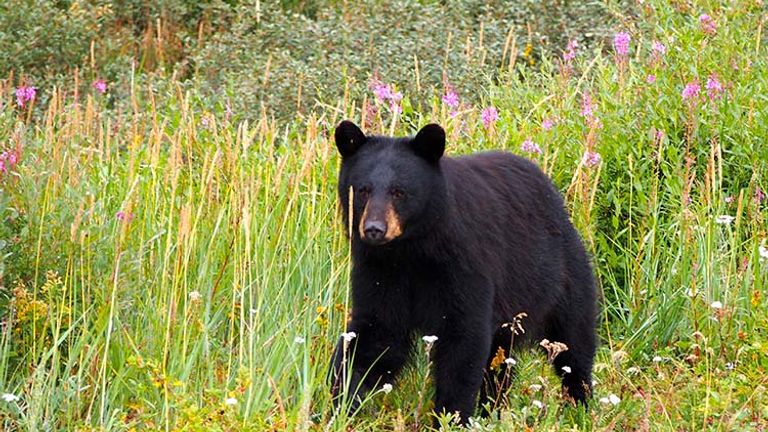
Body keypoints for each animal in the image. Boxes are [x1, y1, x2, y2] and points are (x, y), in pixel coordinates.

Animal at [328, 120, 597, 425]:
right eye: (363, 190)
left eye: (399, 192)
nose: (374, 229)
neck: (410, 251)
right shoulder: (379, 271)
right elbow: (376, 336)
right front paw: (341, 403)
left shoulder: (464, 264)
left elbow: (462, 340)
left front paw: (450, 416)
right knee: (500, 363)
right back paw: (493, 409)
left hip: (561, 279)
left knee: (574, 345)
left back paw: (580, 405)